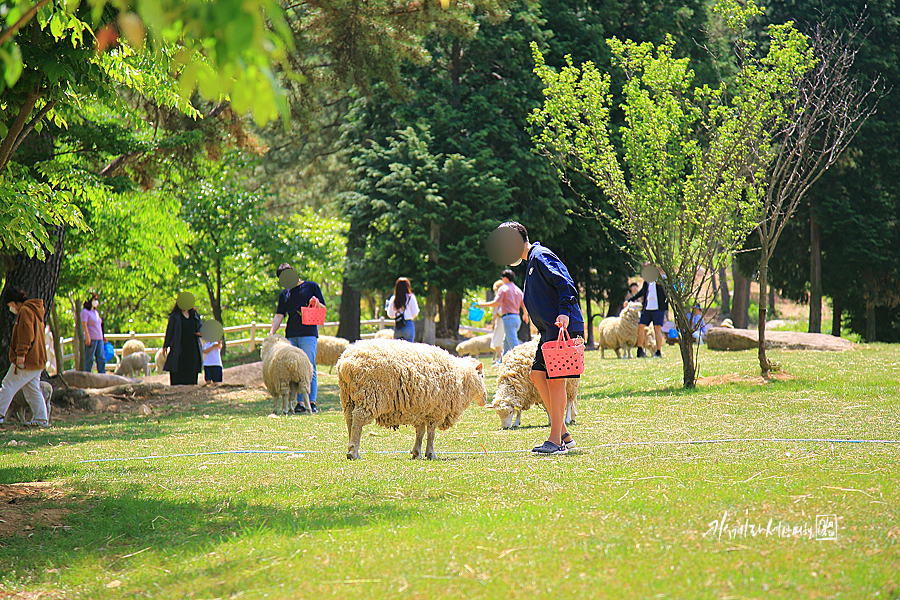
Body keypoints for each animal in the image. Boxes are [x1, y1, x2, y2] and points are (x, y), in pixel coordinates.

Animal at [338, 340, 488, 462]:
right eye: (482, 376)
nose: (485, 398)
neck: (461, 378)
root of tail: (345, 362)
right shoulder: (436, 411)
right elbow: (431, 434)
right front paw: (431, 454)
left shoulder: (421, 409)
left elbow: (420, 433)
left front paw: (417, 453)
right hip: (369, 395)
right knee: (358, 420)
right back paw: (353, 452)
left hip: (348, 398)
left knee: (350, 420)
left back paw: (352, 450)